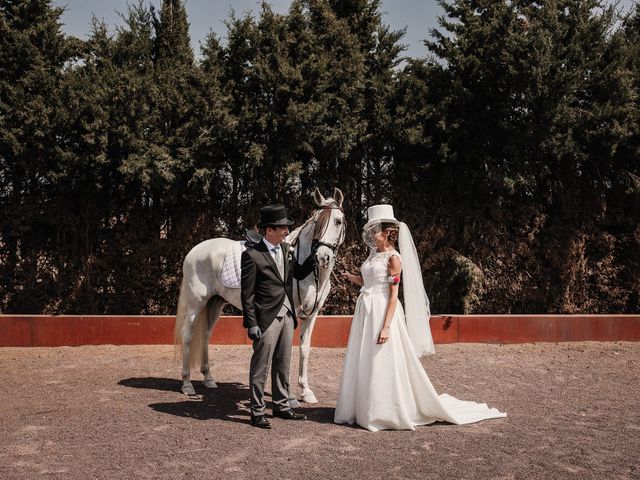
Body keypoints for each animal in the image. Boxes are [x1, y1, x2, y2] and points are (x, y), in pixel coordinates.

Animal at [172, 188, 344, 404]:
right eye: (317, 223)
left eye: (338, 221)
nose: (322, 257)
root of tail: (194, 251)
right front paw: (289, 395)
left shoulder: (312, 315)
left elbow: (305, 348)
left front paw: (306, 392)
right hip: (196, 304)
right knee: (187, 335)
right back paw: (187, 384)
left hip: (215, 304)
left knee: (205, 335)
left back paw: (208, 379)